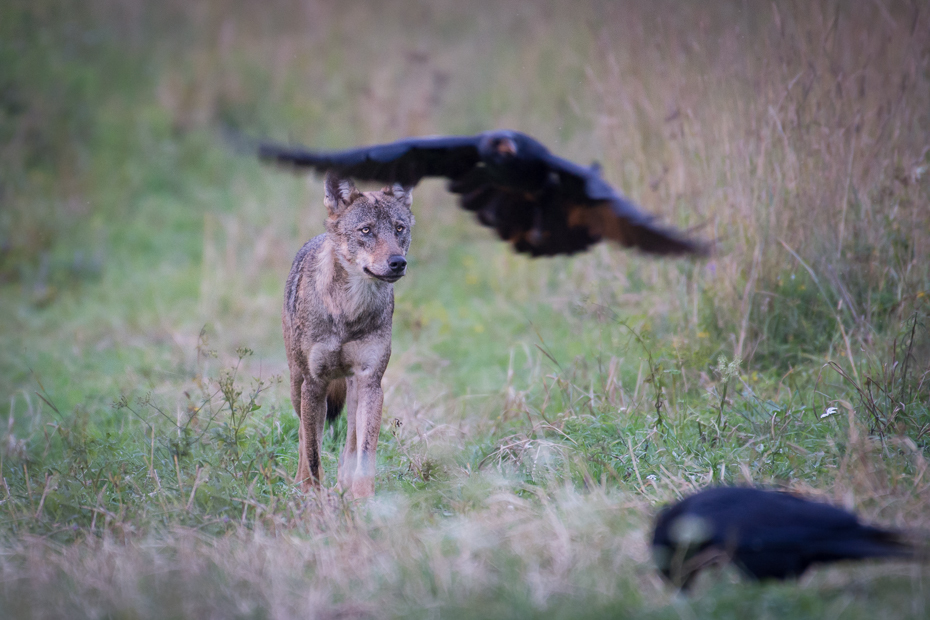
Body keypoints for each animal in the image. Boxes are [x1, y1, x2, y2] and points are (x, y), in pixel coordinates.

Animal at [282, 171, 414, 498]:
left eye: (399, 228)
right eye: (366, 230)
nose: (398, 262)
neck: (348, 312)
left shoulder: (371, 382)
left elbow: (365, 450)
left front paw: (363, 499)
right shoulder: (314, 384)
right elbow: (313, 451)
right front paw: (312, 496)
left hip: (354, 390)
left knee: (350, 443)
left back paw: (344, 486)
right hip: (297, 384)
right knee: (303, 435)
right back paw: (300, 484)